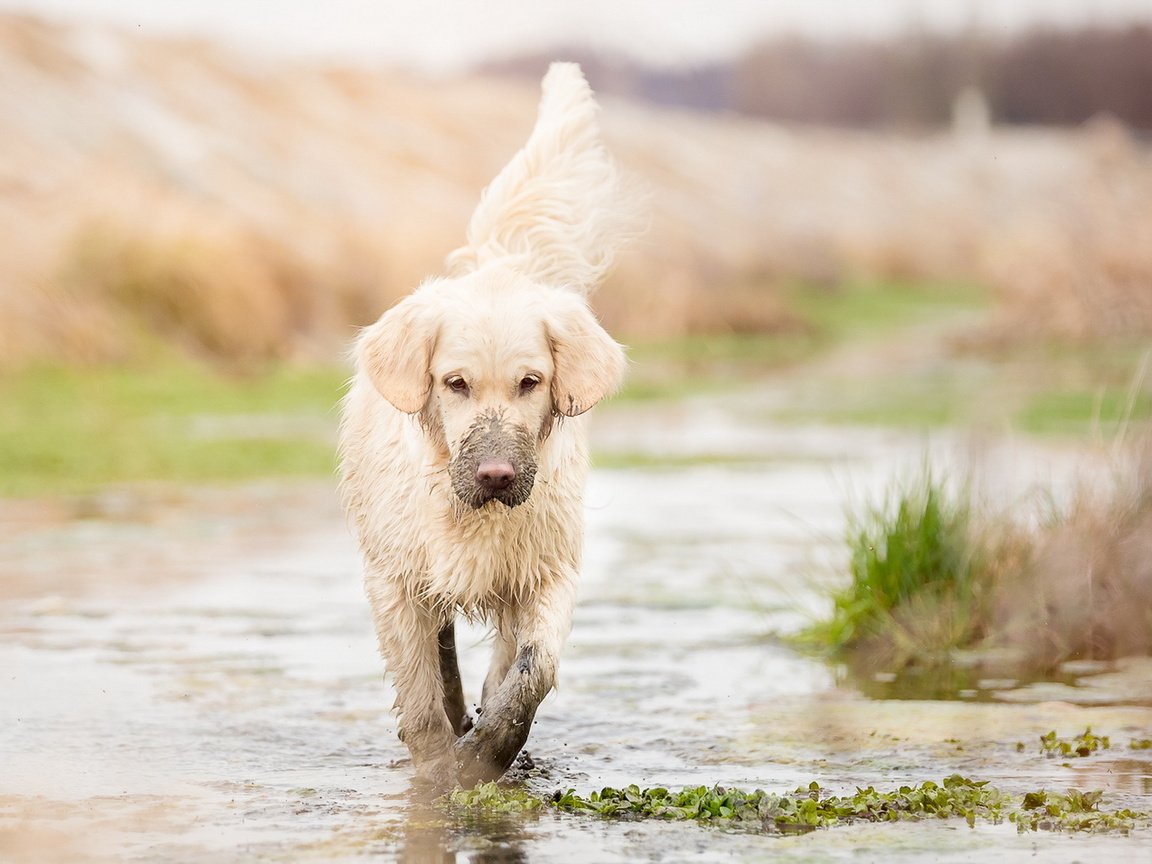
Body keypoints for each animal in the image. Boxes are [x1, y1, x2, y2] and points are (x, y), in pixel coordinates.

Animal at [336, 61, 635, 792]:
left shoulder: (545, 572)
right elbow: (420, 696)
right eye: (455, 383)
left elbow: (529, 671)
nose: (497, 475)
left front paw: (488, 754)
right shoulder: (396, 581)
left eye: (531, 382)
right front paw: (437, 774)